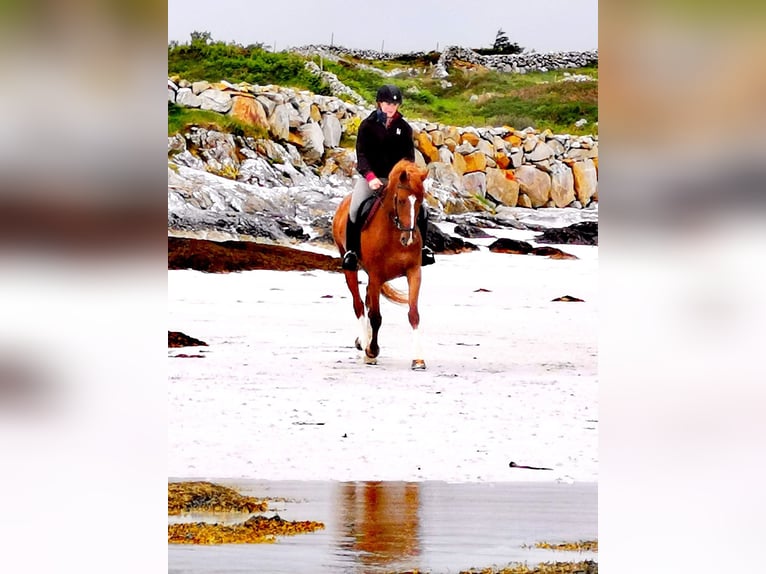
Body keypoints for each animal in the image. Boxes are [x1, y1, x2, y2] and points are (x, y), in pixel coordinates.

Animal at [334, 160, 432, 372]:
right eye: (401, 200)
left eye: (419, 201)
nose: (408, 239)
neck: (394, 233)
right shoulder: (376, 275)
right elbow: (376, 316)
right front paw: (371, 352)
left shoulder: (414, 272)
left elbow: (413, 314)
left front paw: (418, 359)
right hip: (351, 268)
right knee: (359, 305)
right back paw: (364, 344)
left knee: (367, 300)